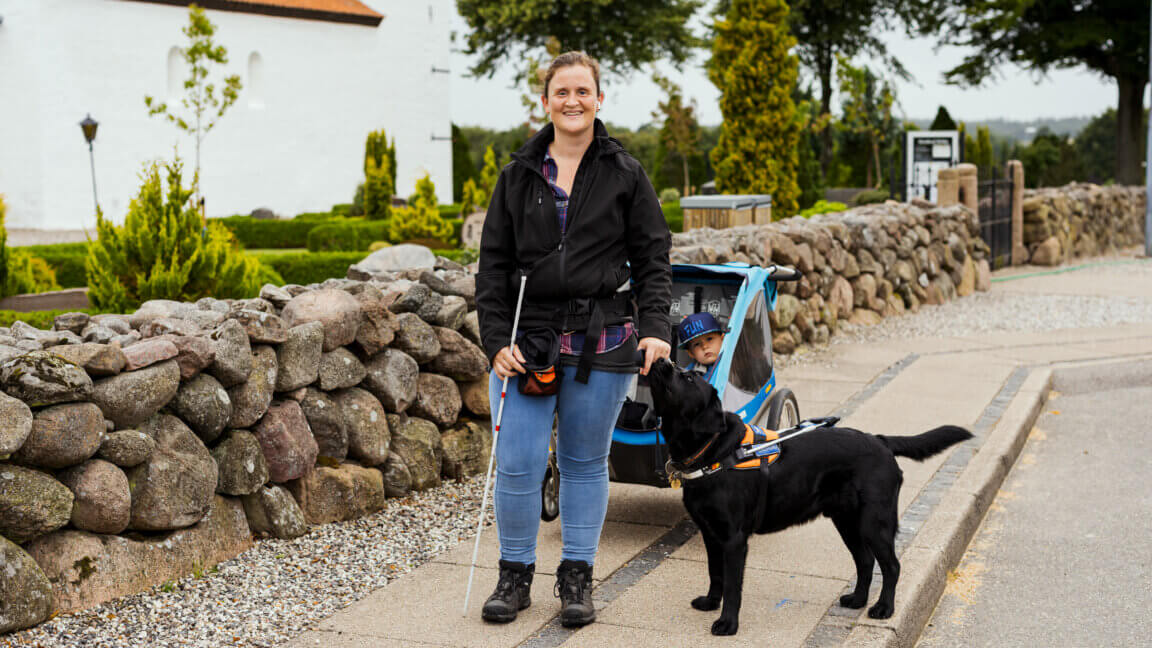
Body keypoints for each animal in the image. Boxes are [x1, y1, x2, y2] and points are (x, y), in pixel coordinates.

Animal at [649, 357, 972, 636]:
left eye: (688, 378)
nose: (660, 359)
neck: (714, 451)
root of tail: (880, 440)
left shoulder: (734, 539)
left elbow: (732, 586)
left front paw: (727, 623)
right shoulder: (710, 534)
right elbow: (715, 573)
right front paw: (709, 603)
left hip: (874, 522)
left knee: (891, 565)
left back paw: (883, 608)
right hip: (847, 521)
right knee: (865, 561)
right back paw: (857, 599)